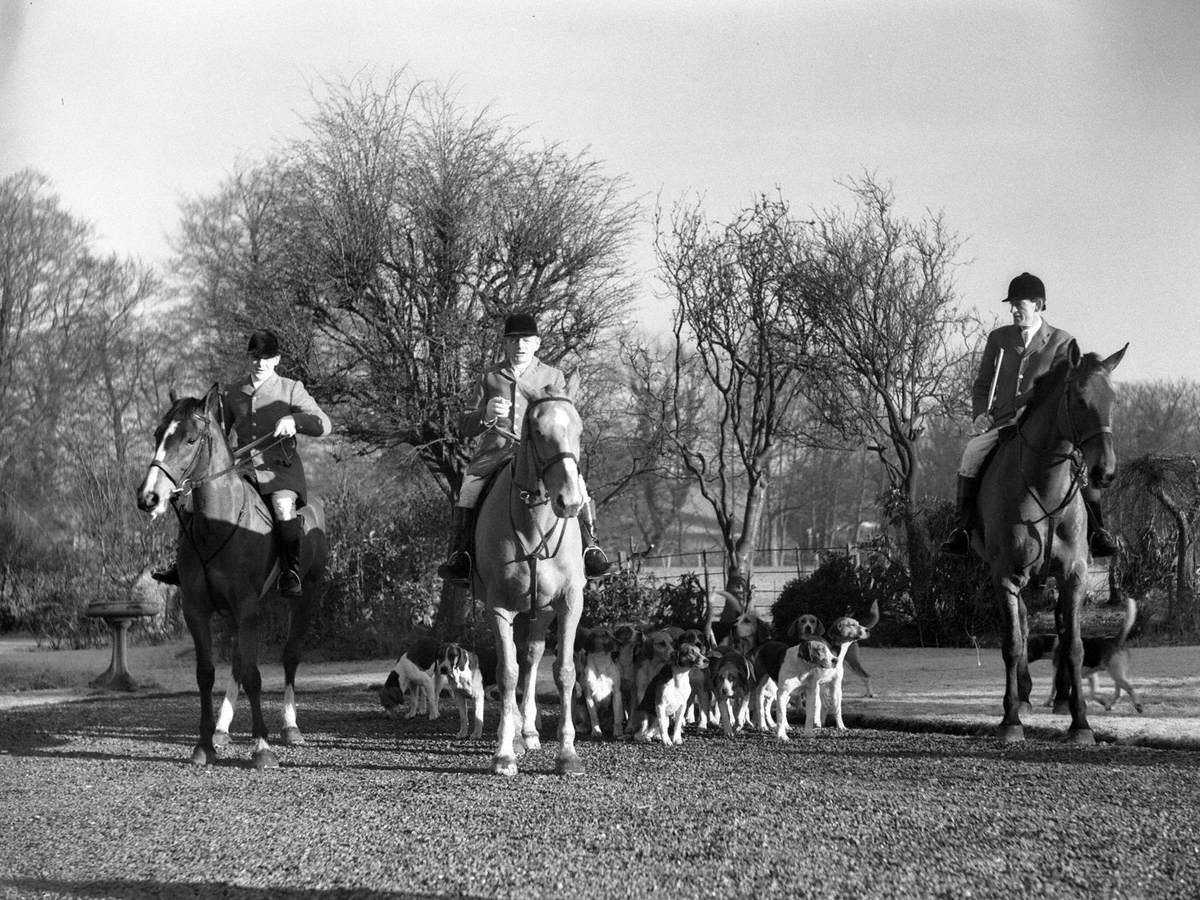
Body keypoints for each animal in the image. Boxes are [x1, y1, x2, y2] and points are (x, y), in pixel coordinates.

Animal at [135, 384, 328, 772]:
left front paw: (262, 747)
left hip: (305, 597)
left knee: (289, 656)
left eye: (190, 439)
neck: (218, 522)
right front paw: (204, 745)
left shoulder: (247, 607)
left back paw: (290, 726)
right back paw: (222, 730)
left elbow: (254, 673)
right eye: (157, 435)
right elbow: (207, 673)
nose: (149, 497)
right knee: (237, 664)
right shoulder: (197, 610)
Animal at [475, 386, 592, 777]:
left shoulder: (569, 602)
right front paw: (503, 754)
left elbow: (565, 672)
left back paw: (527, 731)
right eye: (539, 432)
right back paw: (513, 736)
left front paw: (567, 753)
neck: (533, 521)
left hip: (541, 611)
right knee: (516, 663)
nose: (570, 502)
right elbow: (507, 673)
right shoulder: (497, 606)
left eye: (579, 430)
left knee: (532, 656)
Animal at [969, 340, 1128, 744]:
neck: (1044, 485)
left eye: (1114, 400)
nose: (1105, 473)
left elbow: (1074, 645)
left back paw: (1060, 698)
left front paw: (1081, 722)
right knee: (1025, 627)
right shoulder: (1006, 576)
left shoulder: (1074, 575)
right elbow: (1012, 643)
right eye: (1079, 399)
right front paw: (1010, 719)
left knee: (1057, 628)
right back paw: (1024, 697)